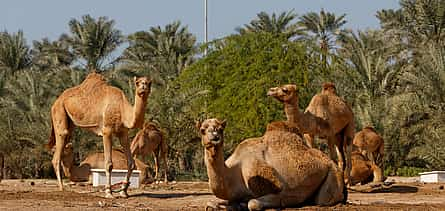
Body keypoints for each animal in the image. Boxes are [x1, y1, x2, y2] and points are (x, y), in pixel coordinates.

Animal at [196, 118, 346, 211]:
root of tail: (328, 160)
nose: (215, 138)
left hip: (333, 172)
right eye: (202, 130)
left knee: (324, 200)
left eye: (221, 129)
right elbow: (210, 202)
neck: (234, 172)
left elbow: (253, 203)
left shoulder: (275, 188)